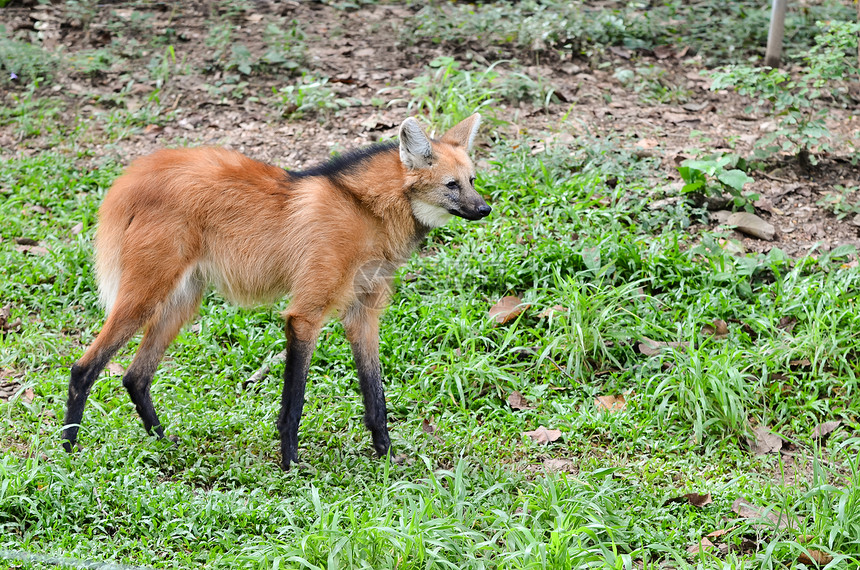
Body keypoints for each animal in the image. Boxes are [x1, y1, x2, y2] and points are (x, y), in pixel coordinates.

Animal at [63, 113, 490, 468]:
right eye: (451, 185)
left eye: (472, 181)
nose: (485, 209)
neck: (367, 211)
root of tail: (133, 174)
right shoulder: (306, 314)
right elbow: (295, 399)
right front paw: (291, 465)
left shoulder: (363, 314)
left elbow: (376, 397)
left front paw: (386, 458)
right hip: (146, 295)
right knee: (84, 367)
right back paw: (68, 452)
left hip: (182, 302)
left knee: (135, 376)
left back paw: (164, 442)